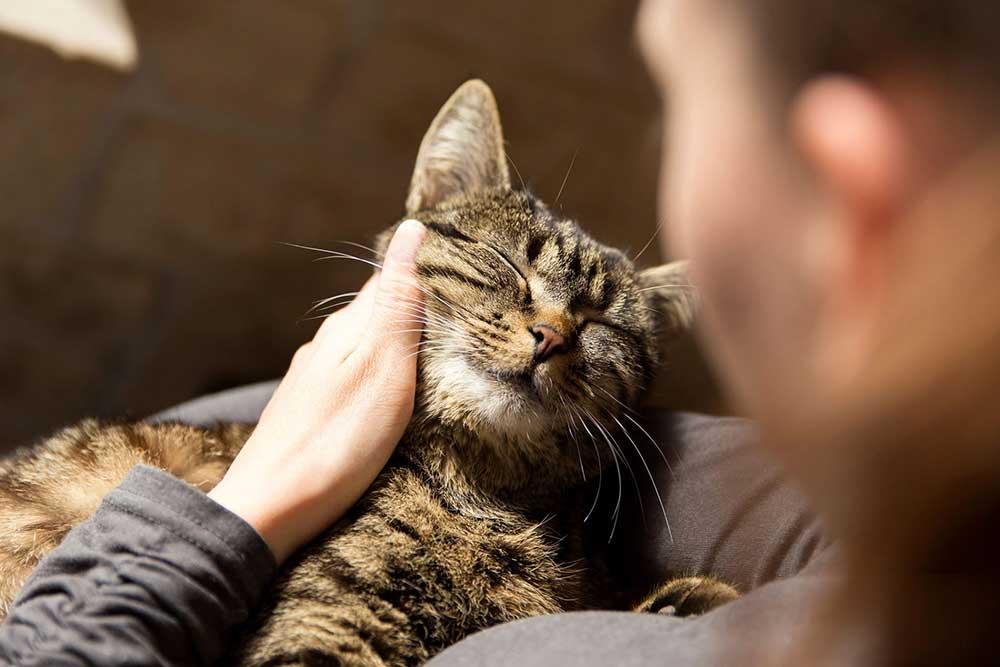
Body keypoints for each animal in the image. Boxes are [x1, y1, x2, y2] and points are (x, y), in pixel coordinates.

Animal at [0, 81, 736, 664]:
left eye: (603, 324)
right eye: (508, 263)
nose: (553, 335)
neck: (483, 492)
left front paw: (684, 602)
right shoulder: (326, 624)